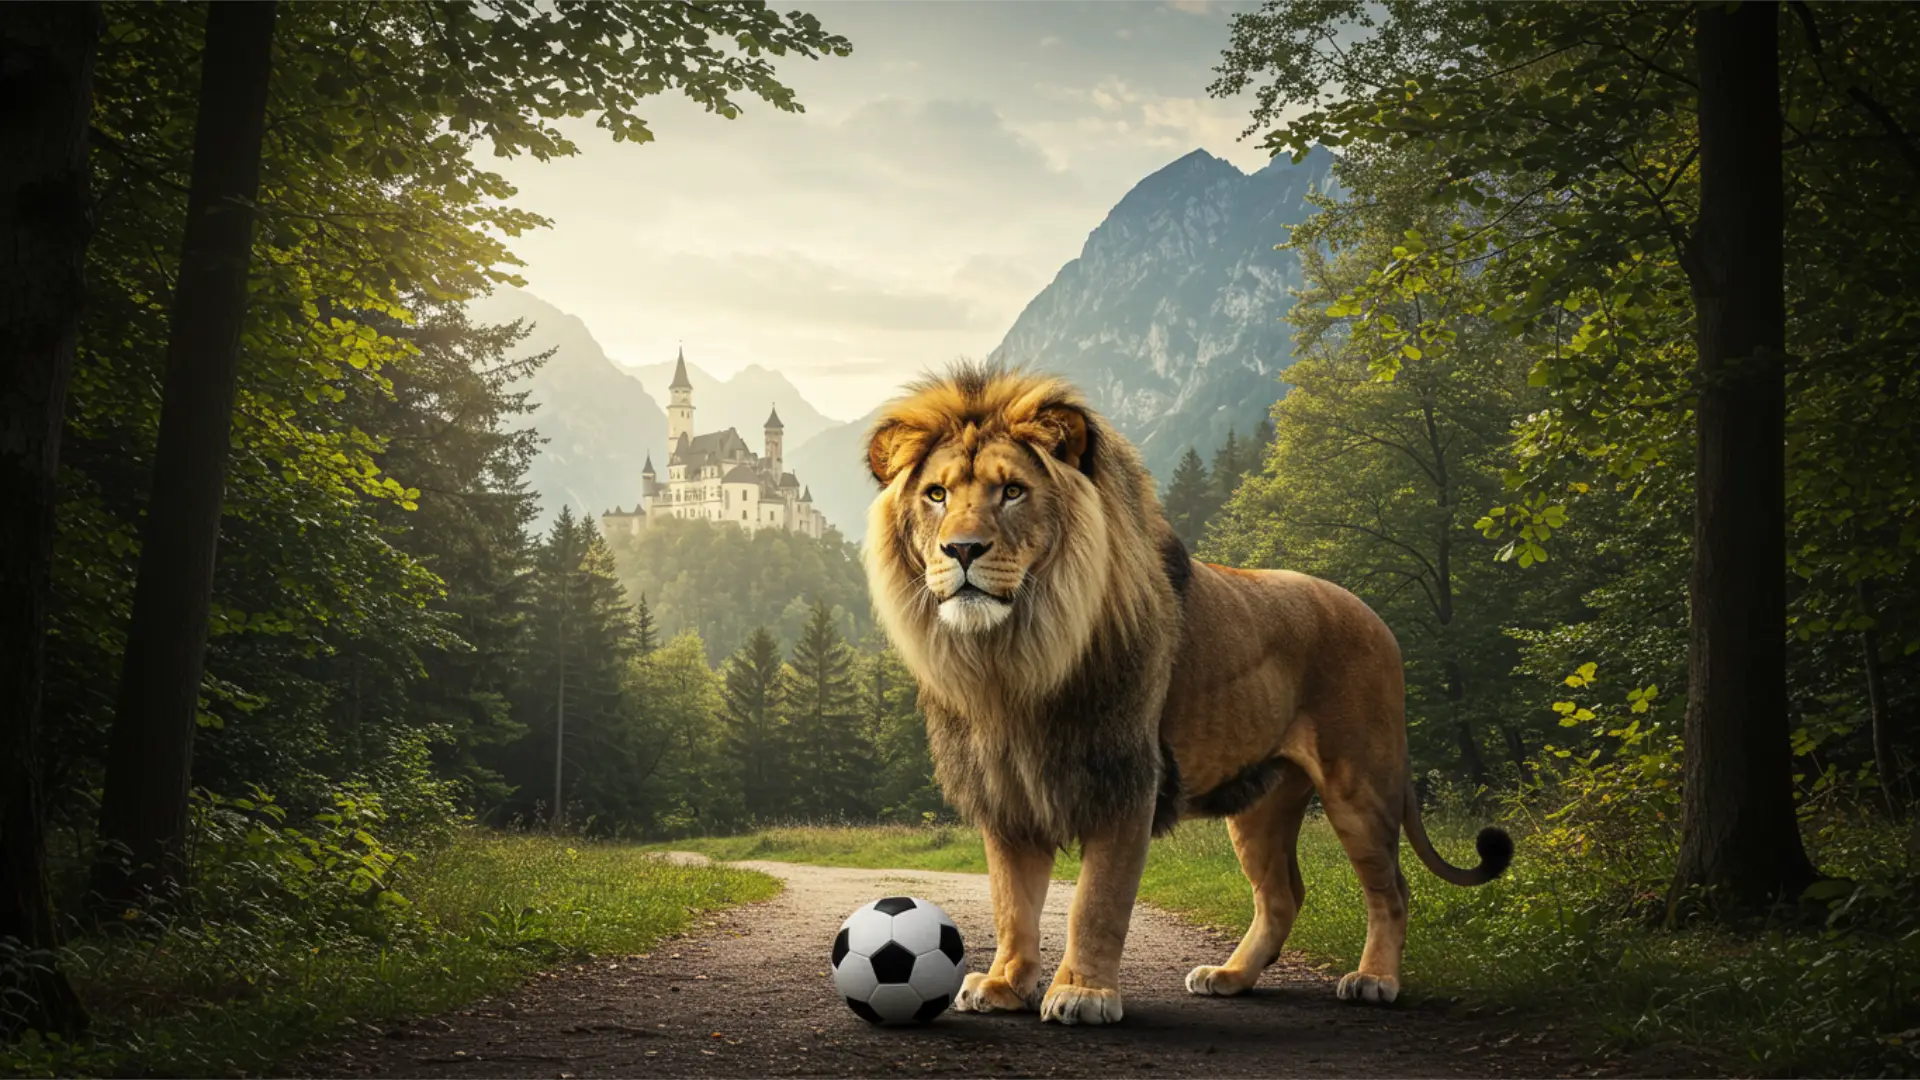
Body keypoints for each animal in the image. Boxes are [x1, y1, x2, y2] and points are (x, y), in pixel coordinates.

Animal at [862, 363, 1512, 1026]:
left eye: (1013, 491)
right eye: (936, 495)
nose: (962, 549)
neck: (1013, 658)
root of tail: (1377, 617)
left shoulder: (1126, 778)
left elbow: (1095, 903)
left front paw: (1083, 993)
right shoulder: (1006, 793)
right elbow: (1012, 904)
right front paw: (1003, 984)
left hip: (1360, 783)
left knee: (1391, 889)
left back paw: (1374, 979)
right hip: (1262, 802)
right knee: (1282, 894)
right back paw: (1230, 976)